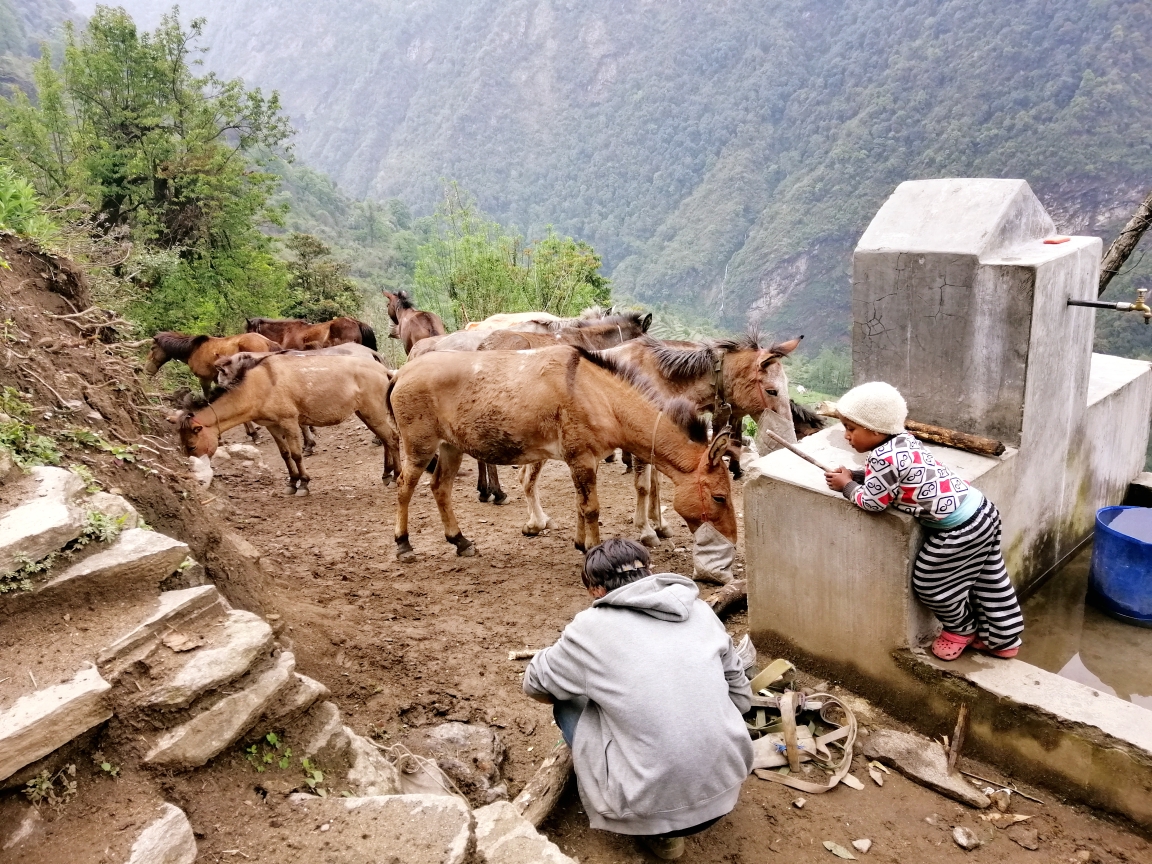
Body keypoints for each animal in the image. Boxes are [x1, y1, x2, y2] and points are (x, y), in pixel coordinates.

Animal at [165, 354, 400, 497]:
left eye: (192, 446)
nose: (198, 481)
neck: (259, 386)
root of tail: (384, 370)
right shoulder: (273, 426)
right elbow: (285, 454)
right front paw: (291, 483)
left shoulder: (289, 422)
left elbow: (296, 454)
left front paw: (303, 484)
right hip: (366, 414)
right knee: (386, 440)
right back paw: (387, 474)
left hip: (373, 412)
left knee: (392, 439)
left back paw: (397, 475)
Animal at [382, 347, 732, 564]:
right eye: (719, 497)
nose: (729, 542)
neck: (598, 394)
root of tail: (400, 374)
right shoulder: (582, 458)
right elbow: (591, 508)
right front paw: (594, 548)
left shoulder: (582, 461)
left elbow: (580, 504)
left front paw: (580, 544)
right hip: (420, 448)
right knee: (404, 488)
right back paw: (403, 543)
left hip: (450, 447)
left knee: (440, 488)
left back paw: (460, 541)